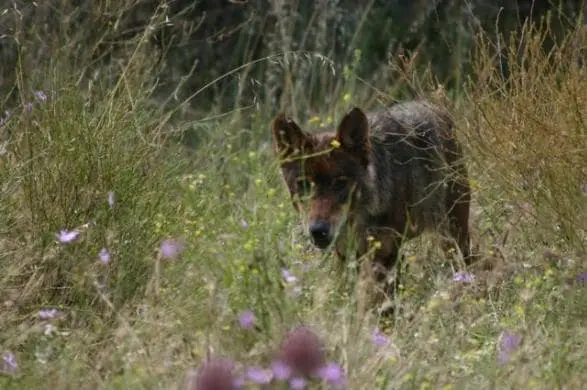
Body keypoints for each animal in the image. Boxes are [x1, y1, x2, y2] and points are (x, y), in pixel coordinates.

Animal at [274, 100, 476, 308]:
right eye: (304, 185)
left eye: (340, 183)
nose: (318, 230)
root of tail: (432, 106)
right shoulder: (349, 254)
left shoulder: (384, 254)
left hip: (452, 234)